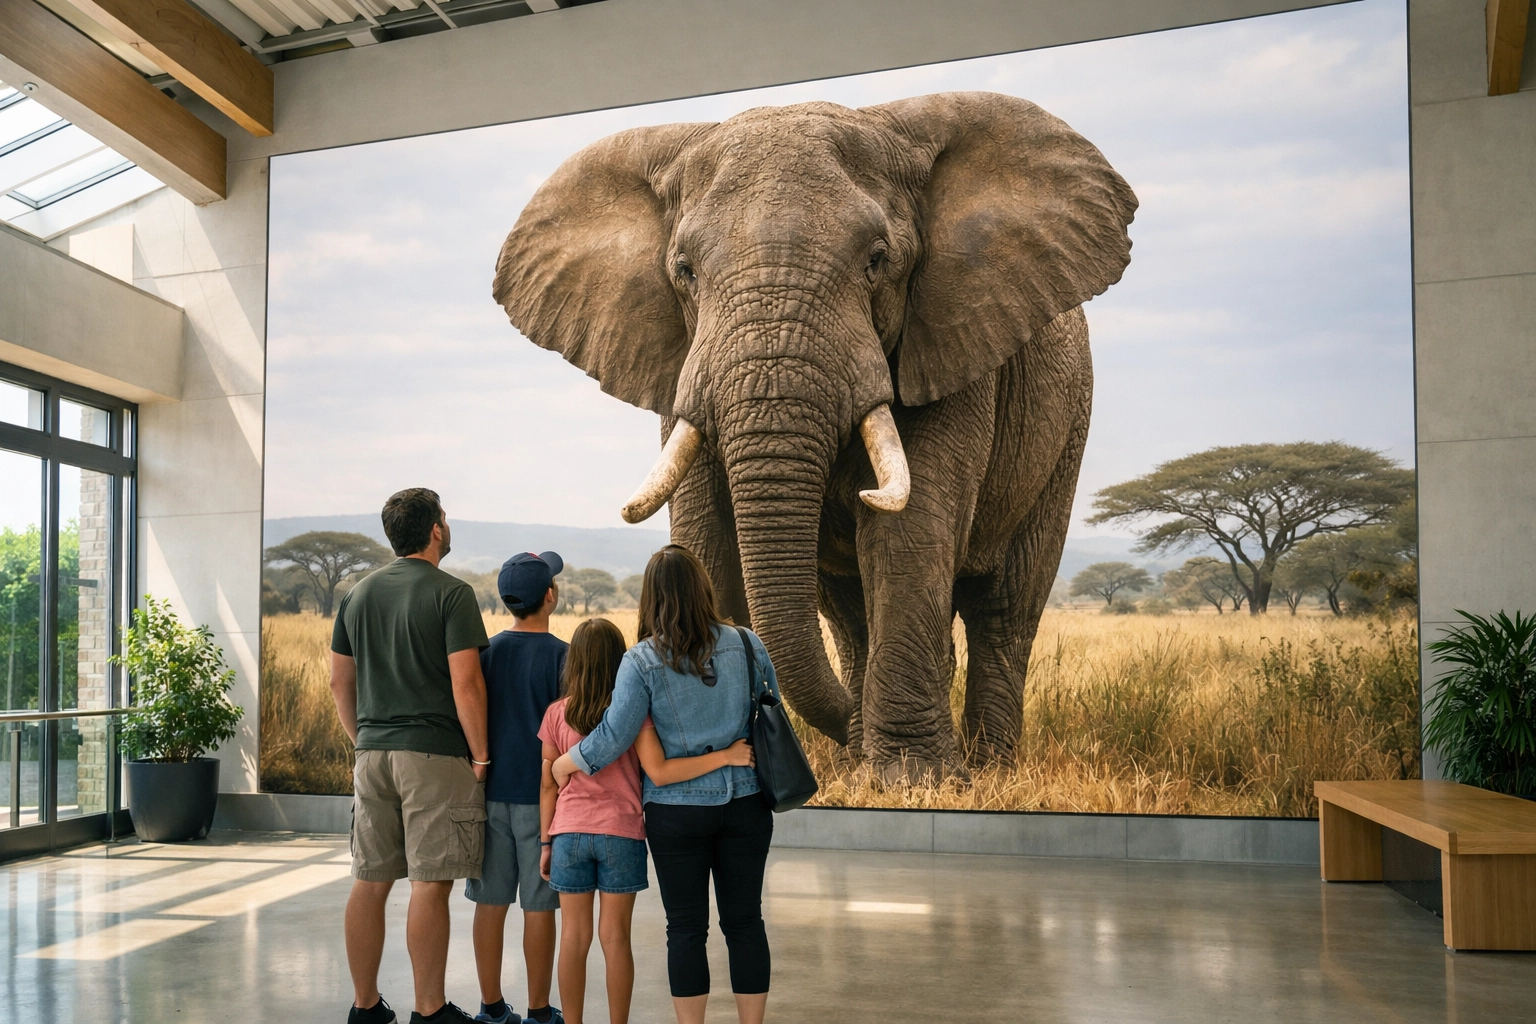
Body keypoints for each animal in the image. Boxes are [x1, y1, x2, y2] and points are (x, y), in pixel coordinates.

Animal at [493, 91, 1137, 778]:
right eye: (685, 271)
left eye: (877, 261)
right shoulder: (682, 369)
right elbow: (705, 537)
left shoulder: (952, 344)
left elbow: (909, 532)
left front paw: (914, 778)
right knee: (851, 614)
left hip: (1067, 430)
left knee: (1004, 606)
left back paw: (984, 765)